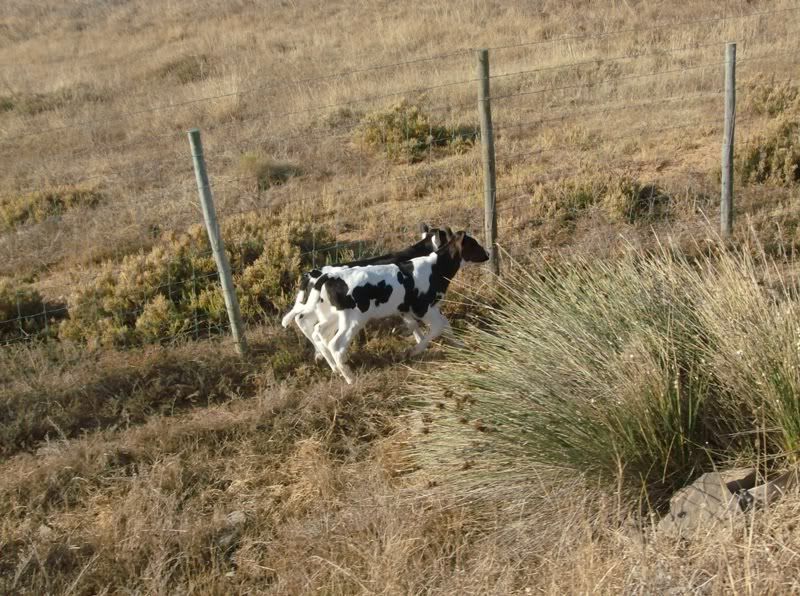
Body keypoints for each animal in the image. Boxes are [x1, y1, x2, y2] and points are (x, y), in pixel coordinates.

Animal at [282, 224, 446, 364]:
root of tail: (313, 273)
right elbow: (413, 323)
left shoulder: (402, 304)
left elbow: (411, 323)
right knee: (311, 325)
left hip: (316, 310)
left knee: (304, 321)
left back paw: (321, 356)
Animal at [298, 230, 488, 384]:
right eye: (474, 244)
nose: (488, 253)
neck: (436, 267)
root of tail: (328, 276)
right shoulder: (422, 308)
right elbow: (437, 327)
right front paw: (413, 351)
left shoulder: (423, 308)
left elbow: (444, 325)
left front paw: (459, 345)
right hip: (353, 319)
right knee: (335, 344)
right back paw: (350, 378)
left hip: (332, 315)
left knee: (319, 332)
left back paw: (335, 368)